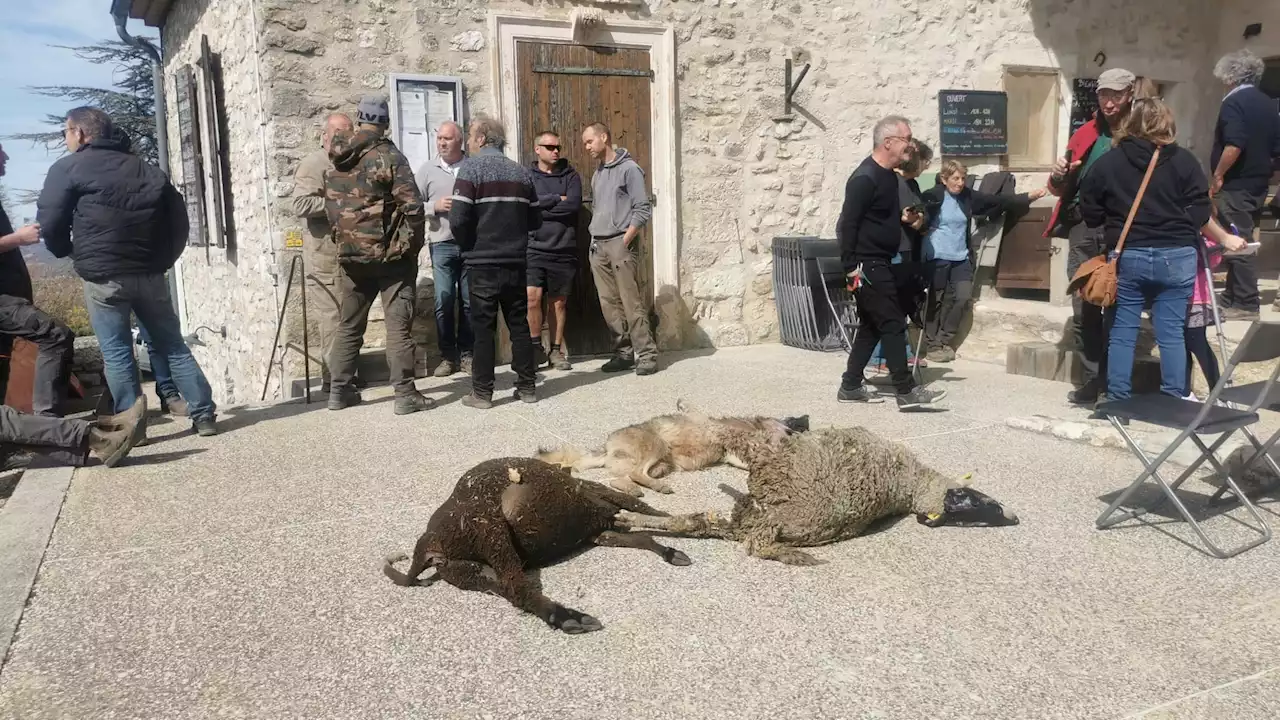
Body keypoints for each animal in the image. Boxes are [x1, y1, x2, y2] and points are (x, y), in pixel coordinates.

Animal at [384, 456, 691, 630]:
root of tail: (430, 542)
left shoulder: (599, 532)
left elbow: (643, 535)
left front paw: (671, 550)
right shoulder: (604, 511)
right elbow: (653, 513)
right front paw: (691, 526)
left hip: (473, 572)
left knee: (511, 591)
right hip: (492, 531)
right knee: (517, 586)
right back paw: (570, 618)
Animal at [540, 394, 808, 497]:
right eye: (789, 426)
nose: (804, 420)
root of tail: (606, 446)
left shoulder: (733, 454)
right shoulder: (710, 423)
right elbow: (697, 411)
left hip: (658, 463)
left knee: (622, 478)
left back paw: (636, 488)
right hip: (657, 446)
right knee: (635, 473)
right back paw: (654, 487)